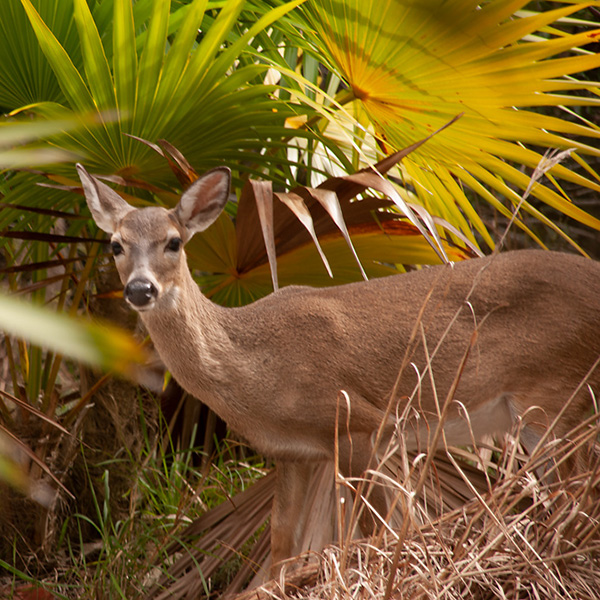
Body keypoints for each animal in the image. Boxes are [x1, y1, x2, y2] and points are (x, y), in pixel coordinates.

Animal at [76, 163, 600, 572]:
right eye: (115, 245)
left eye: (174, 243)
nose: (140, 290)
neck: (255, 370)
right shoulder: (295, 453)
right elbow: (281, 550)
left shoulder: (361, 424)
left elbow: (385, 531)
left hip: (556, 396)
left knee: (579, 502)